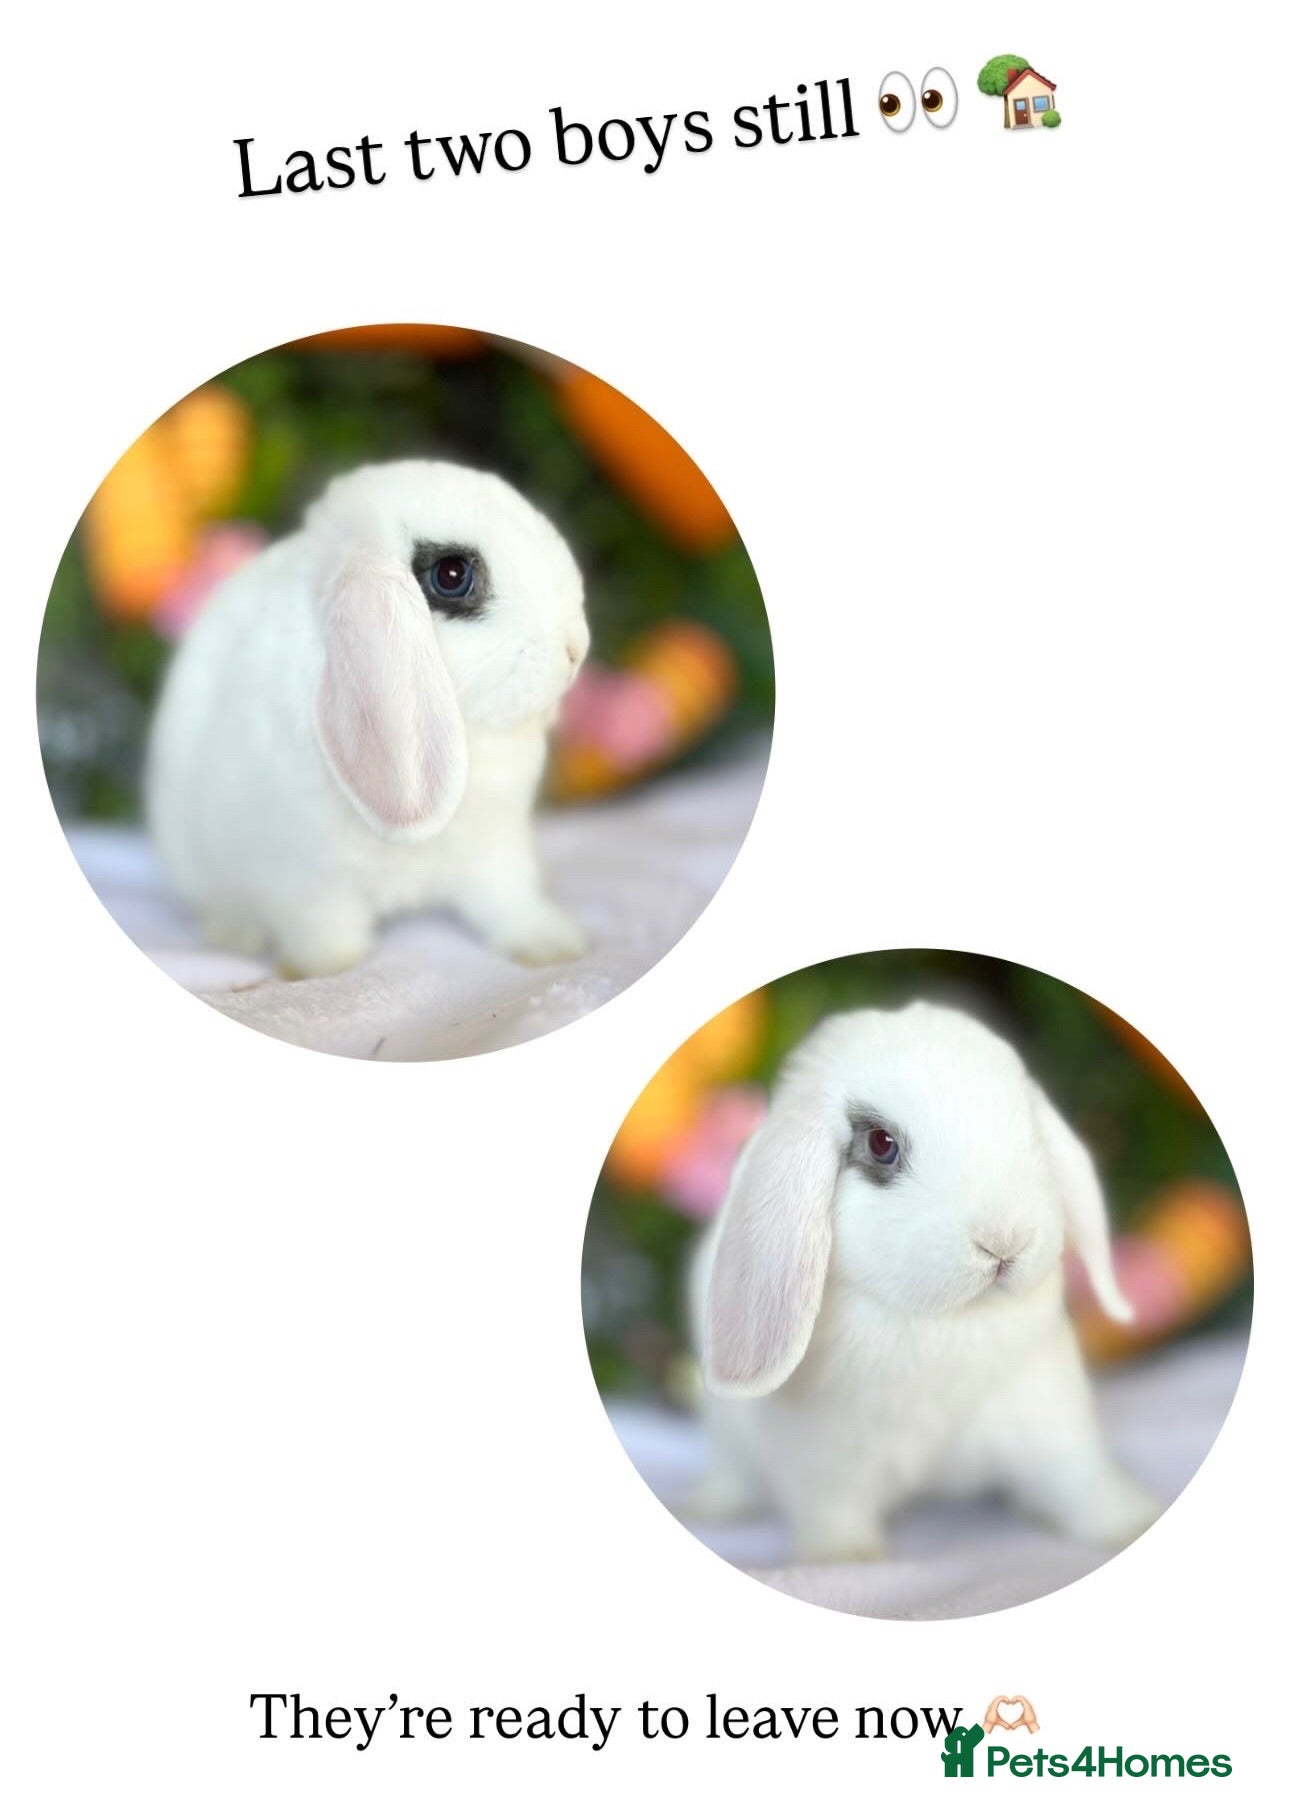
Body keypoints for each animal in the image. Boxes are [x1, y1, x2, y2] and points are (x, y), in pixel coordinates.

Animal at [146, 459, 591, 978]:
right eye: (452, 575)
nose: (576, 650)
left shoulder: (496, 850)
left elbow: (510, 901)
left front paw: (553, 947)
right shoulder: (307, 882)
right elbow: (328, 937)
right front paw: (323, 975)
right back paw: (236, 936)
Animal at [688, 1000, 1160, 1563]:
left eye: (1030, 1130)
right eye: (881, 1143)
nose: (1004, 1241)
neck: (944, 1323)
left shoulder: (1048, 1414)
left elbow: (1078, 1479)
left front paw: (1130, 1520)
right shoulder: (824, 1458)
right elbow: (832, 1509)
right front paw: (843, 1559)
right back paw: (710, 1504)